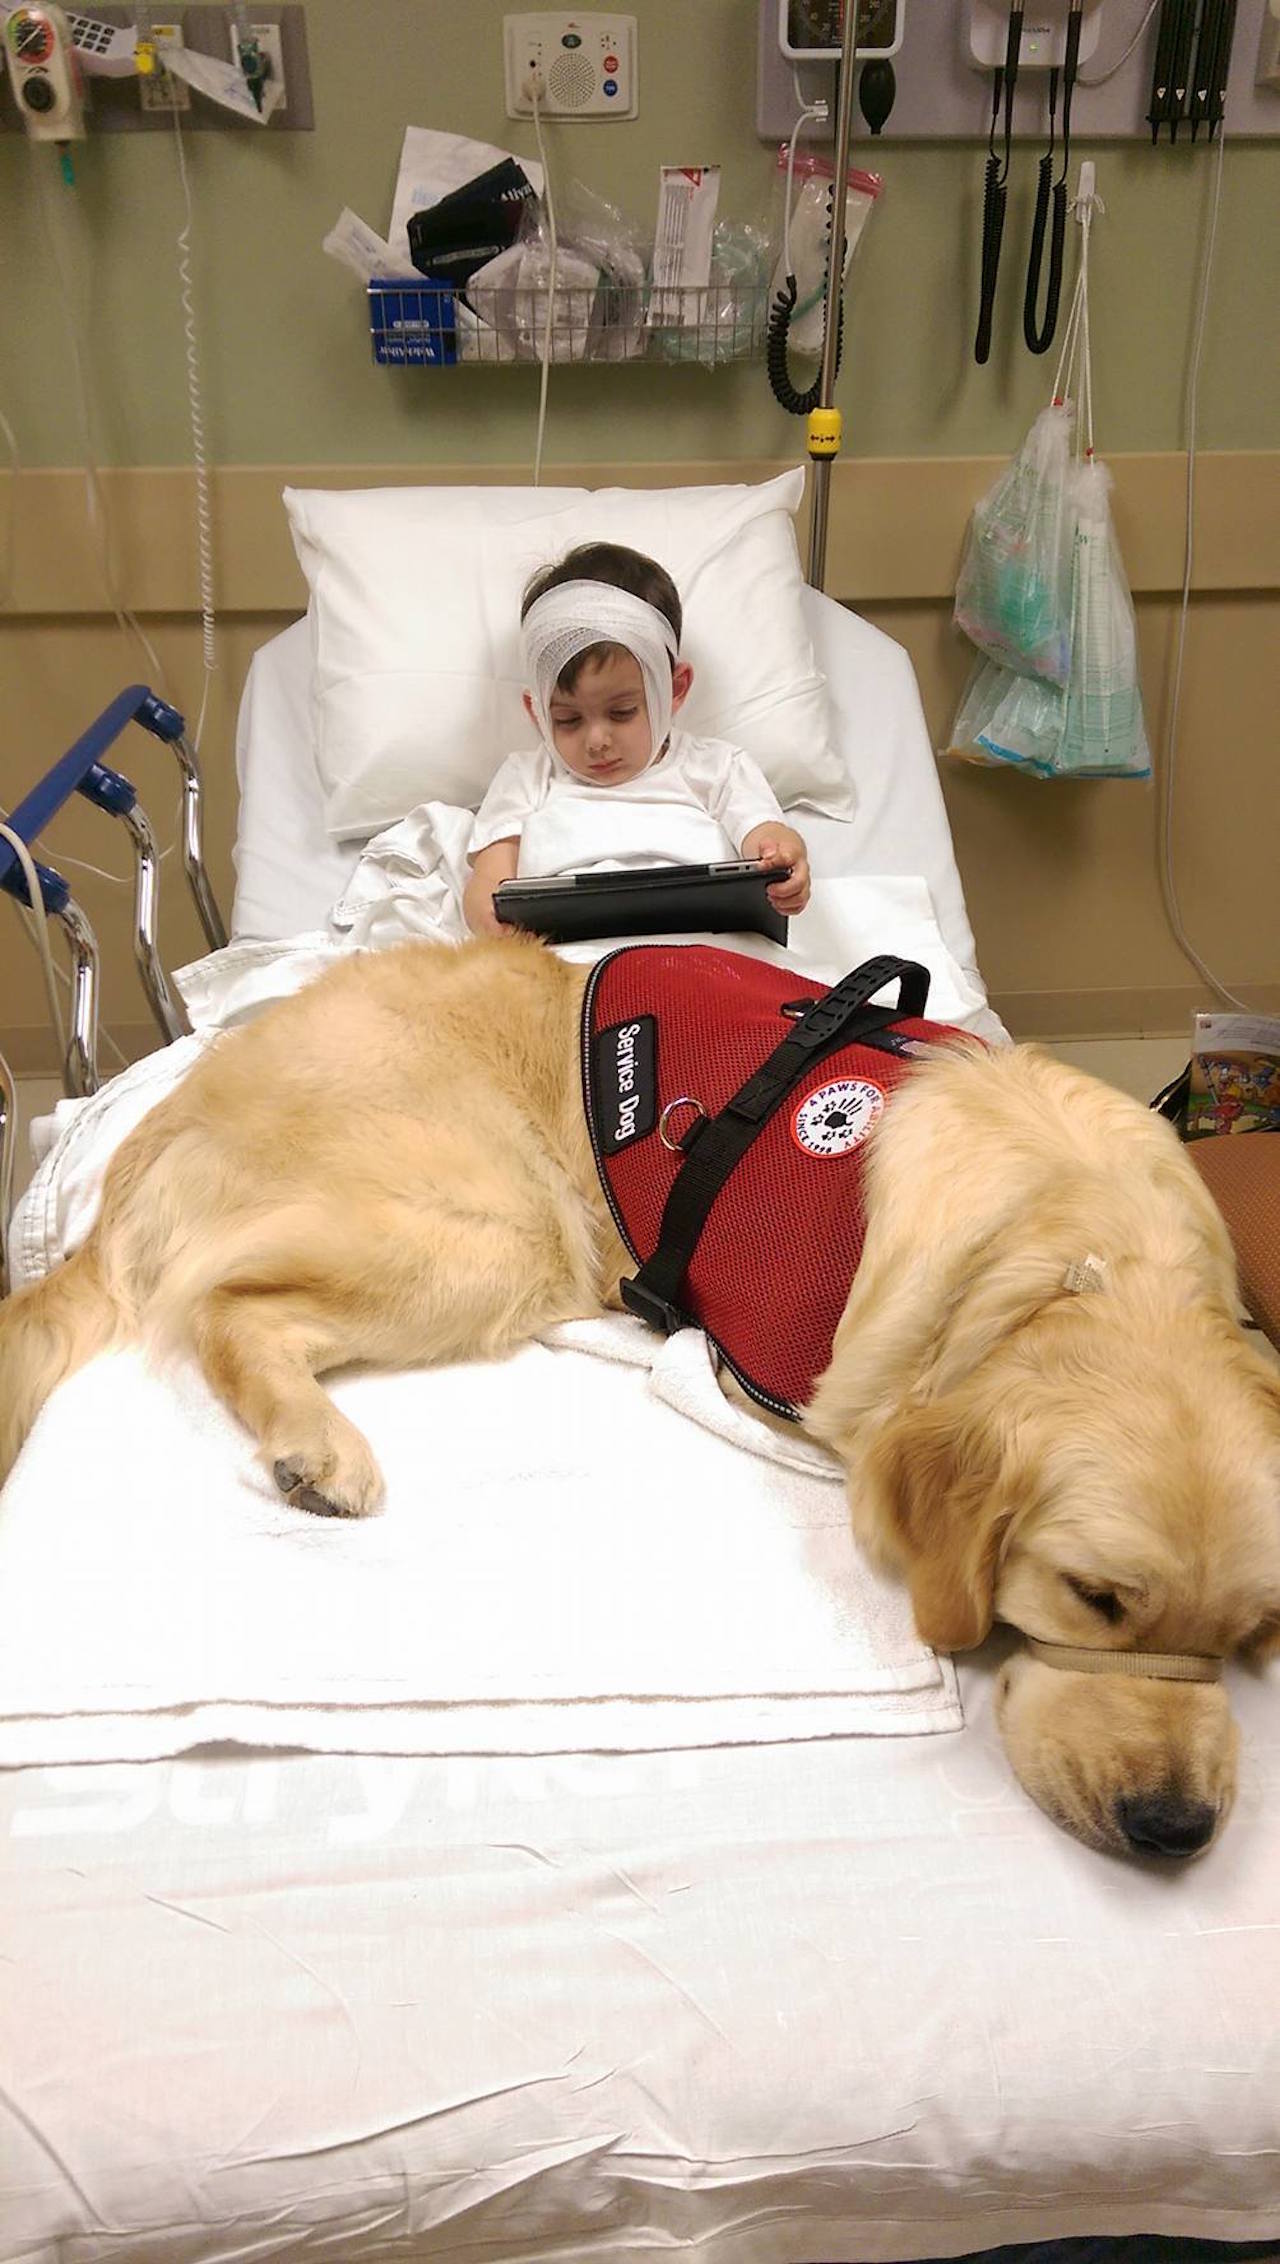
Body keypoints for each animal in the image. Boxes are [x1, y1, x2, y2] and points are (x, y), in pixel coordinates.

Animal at [2, 937, 1277, 1856]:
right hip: (496, 1224)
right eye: (1090, 1596)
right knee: (228, 1305)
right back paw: (317, 1450)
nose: (1175, 1831)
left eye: (1253, 1631)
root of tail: (158, 1128)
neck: (1071, 1256)